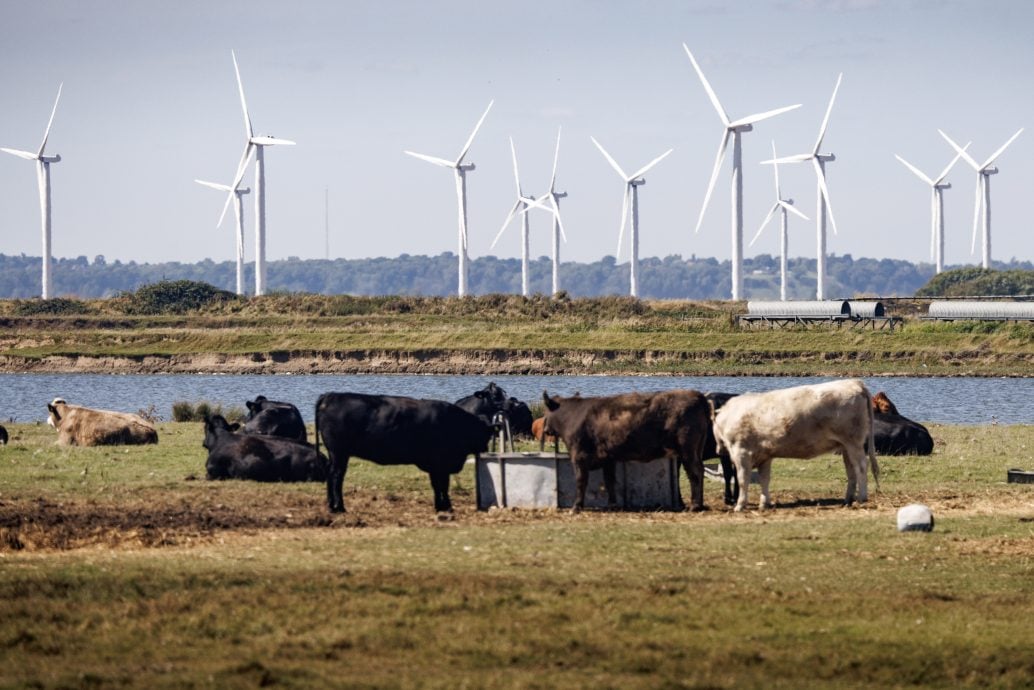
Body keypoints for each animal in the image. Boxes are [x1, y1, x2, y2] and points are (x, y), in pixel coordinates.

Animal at [314, 393, 492, 513]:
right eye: (485, 433)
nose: (485, 449)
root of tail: (331, 396)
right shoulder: (440, 464)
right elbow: (442, 485)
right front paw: (446, 507)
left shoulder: (436, 466)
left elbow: (437, 485)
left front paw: (440, 506)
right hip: (339, 453)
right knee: (337, 477)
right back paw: (339, 507)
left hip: (335, 454)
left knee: (331, 475)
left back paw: (331, 506)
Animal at [541, 388, 711, 513]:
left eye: (546, 412)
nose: (545, 429)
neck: (572, 416)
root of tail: (695, 394)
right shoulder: (608, 458)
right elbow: (609, 481)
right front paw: (612, 505)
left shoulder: (579, 456)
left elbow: (581, 481)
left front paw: (576, 507)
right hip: (695, 450)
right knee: (700, 471)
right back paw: (700, 504)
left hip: (688, 450)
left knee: (695, 473)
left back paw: (695, 505)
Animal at [711, 378, 880, 513]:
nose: (717, 450)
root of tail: (853, 382)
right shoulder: (765, 456)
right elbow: (764, 479)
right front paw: (764, 503)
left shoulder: (742, 453)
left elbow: (742, 479)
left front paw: (740, 505)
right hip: (845, 446)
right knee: (851, 470)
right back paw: (847, 500)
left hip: (853, 442)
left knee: (861, 466)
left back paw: (861, 498)